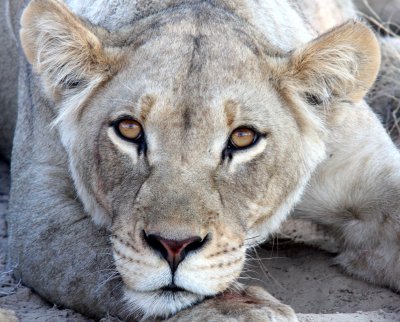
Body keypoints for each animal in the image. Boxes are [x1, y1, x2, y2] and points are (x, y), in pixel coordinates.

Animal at [2, 0, 400, 320]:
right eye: (129, 129)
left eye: (243, 138)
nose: (173, 247)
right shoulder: (38, 214)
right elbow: (95, 258)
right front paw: (239, 311)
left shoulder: (368, 171)